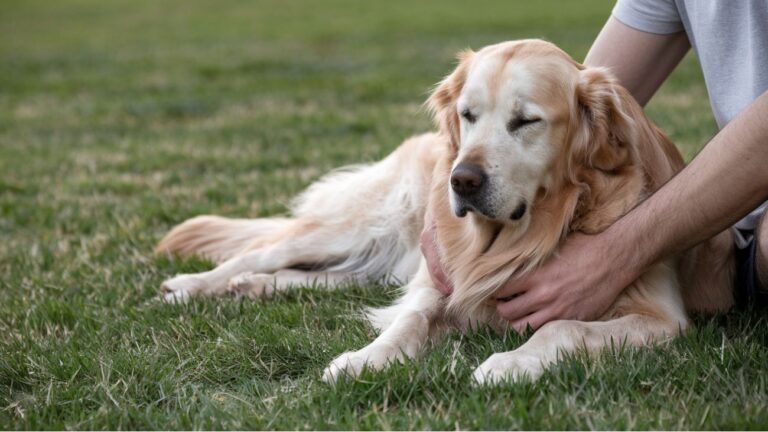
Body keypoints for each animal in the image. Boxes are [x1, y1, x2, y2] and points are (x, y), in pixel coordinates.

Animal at [153, 39, 736, 384]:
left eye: (526, 121)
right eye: (468, 114)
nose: (462, 179)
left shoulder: (661, 318)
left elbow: (564, 329)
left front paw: (510, 363)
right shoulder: (442, 278)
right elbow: (407, 321)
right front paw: (364, 359)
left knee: (316, 277)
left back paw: (249, 288)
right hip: (362, 225)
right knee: (264, 249)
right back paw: (194, 285)